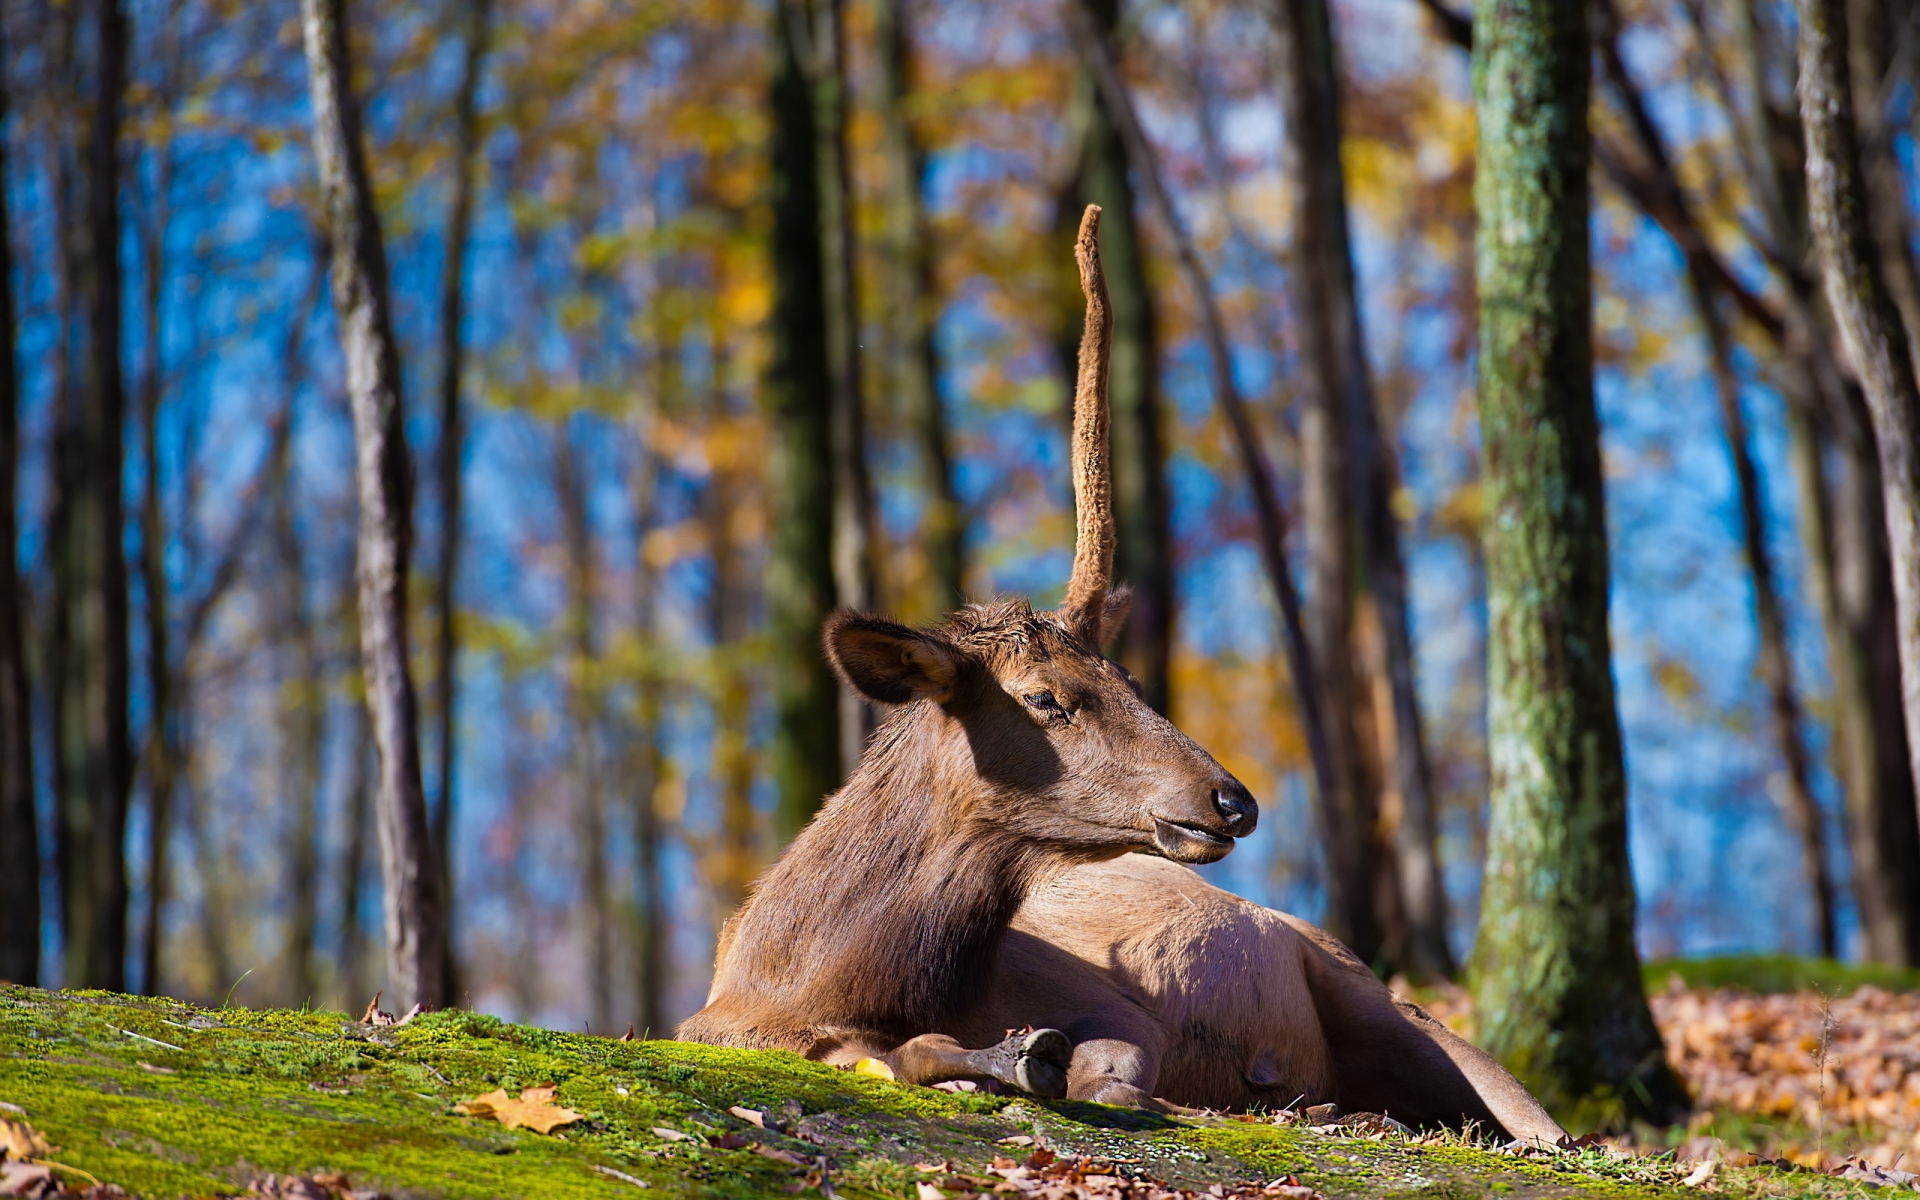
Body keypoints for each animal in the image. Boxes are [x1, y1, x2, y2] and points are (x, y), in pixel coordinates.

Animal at [677, 206, 1261, 1098]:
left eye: (1130, 678)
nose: (1233, 800)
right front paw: (1006, 1054)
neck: (798, 981)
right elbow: (897, 1053)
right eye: (1046, 696)